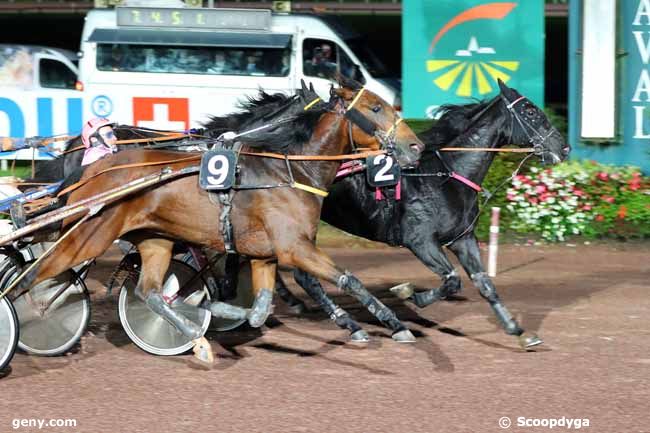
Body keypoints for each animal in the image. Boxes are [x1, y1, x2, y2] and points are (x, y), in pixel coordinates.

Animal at [13, 82, 426, 364]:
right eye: (375, 107)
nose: (416, 147)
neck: (287, 171)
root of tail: (91, 166)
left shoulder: (263, 253)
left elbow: (258, 307)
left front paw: (217, 309)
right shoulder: (294, 247)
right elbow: (347, 279)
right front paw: (392, 325)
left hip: (155, 239)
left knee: (150, 291)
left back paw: (198, 340)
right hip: (88, 232)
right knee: (32, 277)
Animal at [276, 78, 568, 348]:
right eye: (530, 111)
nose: (563, 148)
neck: (444, 176)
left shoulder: (462, 239)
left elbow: (485, 284)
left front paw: (517, 330)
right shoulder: (420, 241)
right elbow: (451, 280)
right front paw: (409, 294)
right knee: (303, 275)